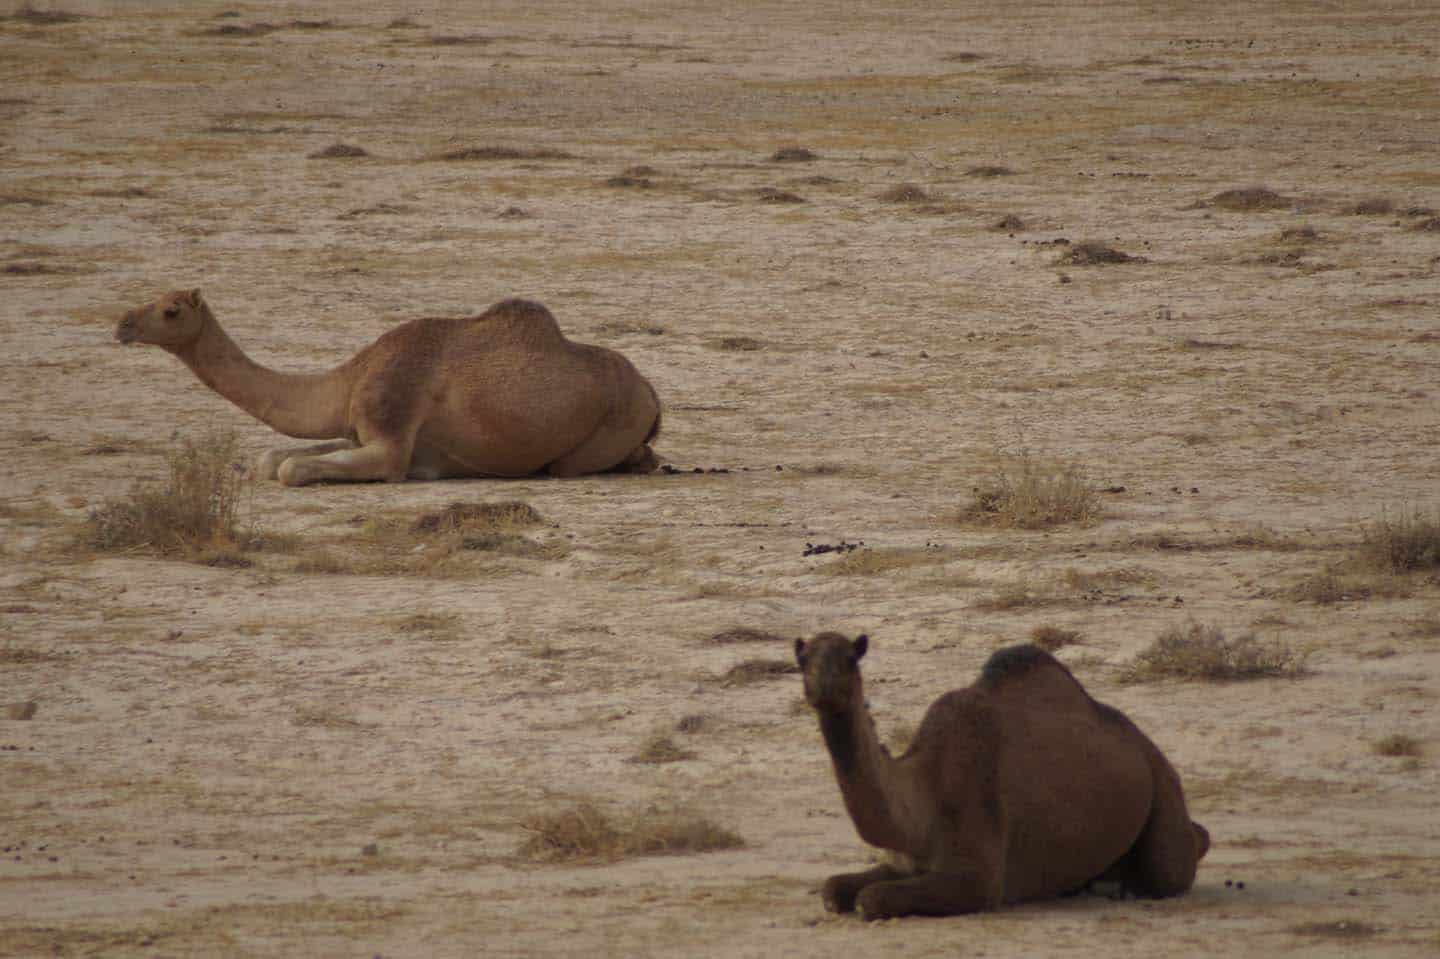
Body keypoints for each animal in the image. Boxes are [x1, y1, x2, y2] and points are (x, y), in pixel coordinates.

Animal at [115, 285, 659, 480]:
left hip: (604, 431)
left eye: (171, 310)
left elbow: (290, 468)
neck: (352, 377)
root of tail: (652, 394)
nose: (122, 323)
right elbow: (273, 458)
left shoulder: (390, 434)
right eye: (151, 297)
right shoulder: (360, 431)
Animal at [794, 630, 1209, 915]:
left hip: (1163, 789)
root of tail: (1144, 744)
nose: (823, 687)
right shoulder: (905, 861)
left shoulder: (978, 877)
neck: (923, 787)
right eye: (803, 660)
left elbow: (872, 900)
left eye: (851, 659)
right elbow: (833, 889)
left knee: (1172, 865)